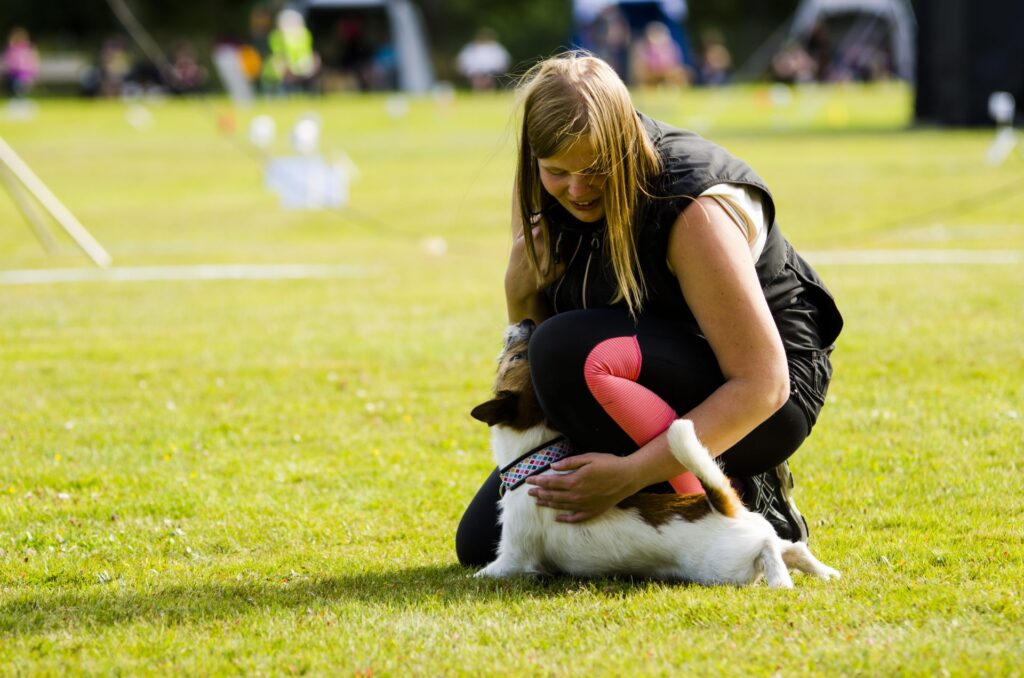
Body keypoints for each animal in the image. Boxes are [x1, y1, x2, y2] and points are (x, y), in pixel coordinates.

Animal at [471, 319, 839, 589]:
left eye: (516, 357)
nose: (529, 321)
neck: (537, 463)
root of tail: (724, 508)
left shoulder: (513, 558)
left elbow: (482, 573)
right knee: (791, 546)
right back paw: (824, 572)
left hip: (727, 567)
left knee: (770, 550)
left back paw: (781, 581)